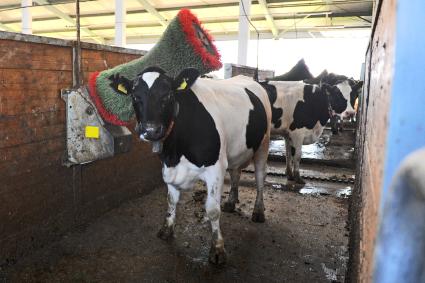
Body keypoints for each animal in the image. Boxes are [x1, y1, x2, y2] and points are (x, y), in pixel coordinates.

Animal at [111, 67, 270, 266]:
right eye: (134, 96)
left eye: (168, 94)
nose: (150, 131)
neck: (176, 152)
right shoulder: (169, 168)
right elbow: (171, 201)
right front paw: (167, 229)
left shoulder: (216, 168)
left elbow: (212, 210)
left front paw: (217, 249)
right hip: (237, 150)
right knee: (236, 173)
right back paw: (231, 202)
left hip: (264, 144)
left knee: (260, 178)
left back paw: (258, 211)